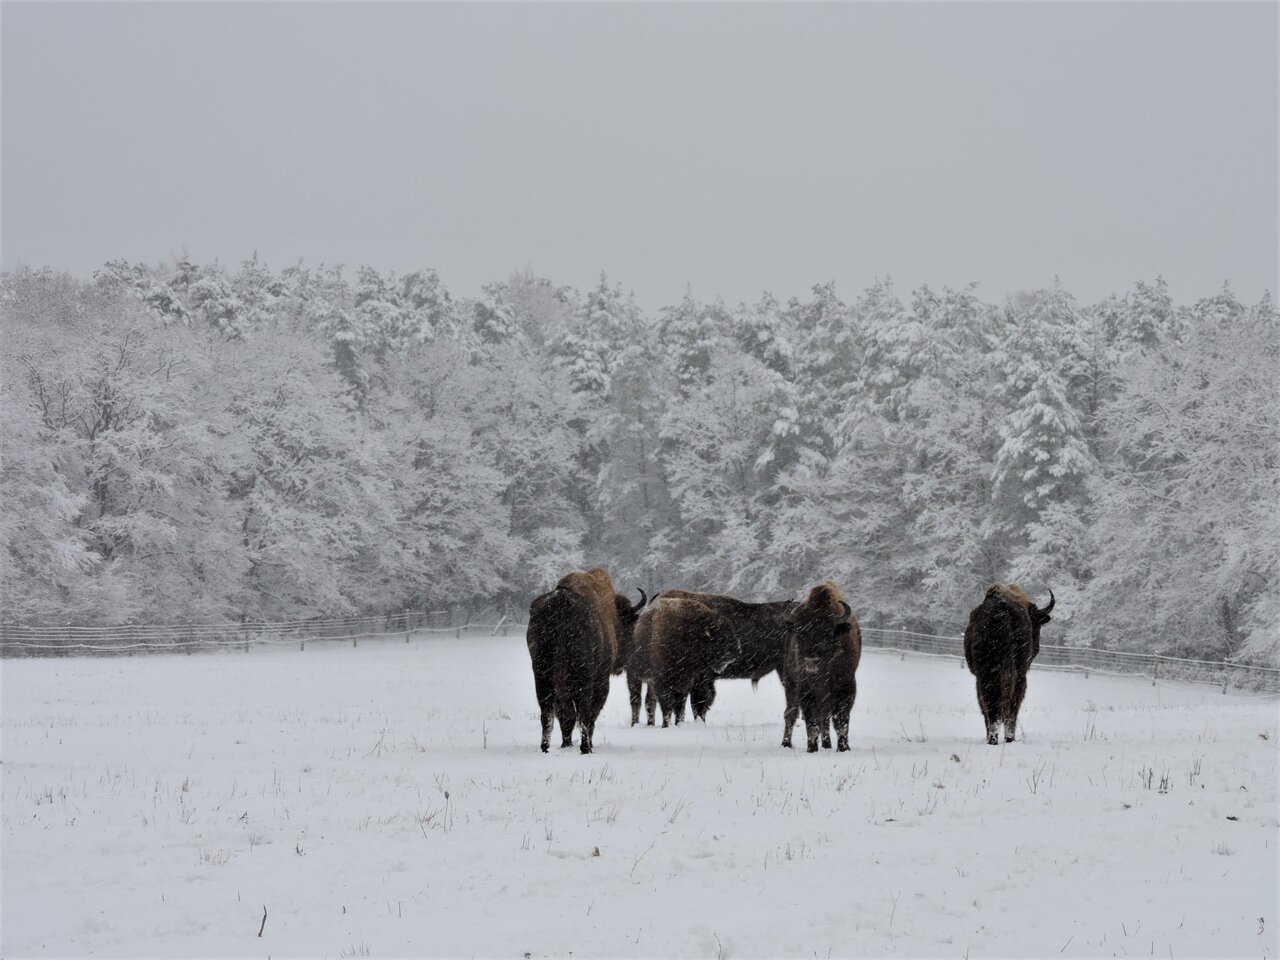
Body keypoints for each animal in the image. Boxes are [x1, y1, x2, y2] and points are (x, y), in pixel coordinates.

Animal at [524, 568, 645, 757]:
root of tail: (561, 601)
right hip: (584, 676)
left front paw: (566, 744)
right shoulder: (601, 680)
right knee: (584, 711)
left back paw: (546, 747)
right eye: (629, 626)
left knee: (549, 712)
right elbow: (589, 713)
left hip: (542, 673)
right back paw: (585, 747)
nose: (622, 664)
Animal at [778, 583, 860, 757]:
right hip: (790, 684)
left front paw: (844, 748)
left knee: (825, 717)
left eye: (827, 633)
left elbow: (840, 719)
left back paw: (827, 744)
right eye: (800, 633)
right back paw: (786, 744)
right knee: (791, 712)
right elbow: (812, 721)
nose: (811, 661)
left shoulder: (846, 686)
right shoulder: (806, 689)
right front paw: (811, 749)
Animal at [962, 583, 1054, 747]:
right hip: (1016, 675)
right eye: (1036, 626)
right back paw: (1006, 738)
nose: (1037, 647)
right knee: (1009, 706)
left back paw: (993, 739)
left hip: (986, 675)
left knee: (991, 704)